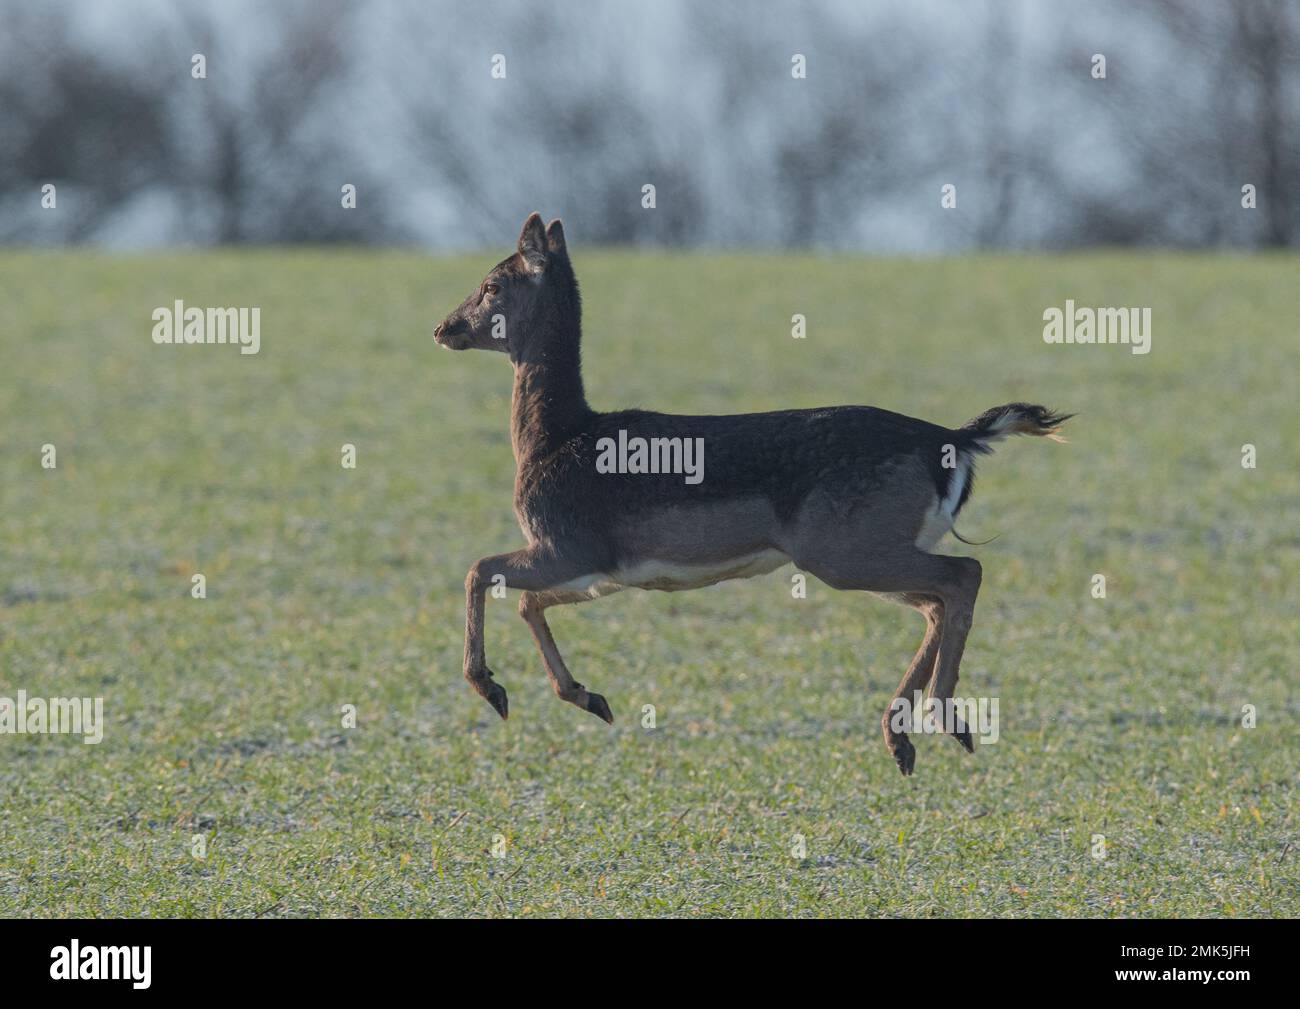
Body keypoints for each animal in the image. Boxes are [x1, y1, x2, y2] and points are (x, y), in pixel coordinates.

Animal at [431, 213, 1071, 774]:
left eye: (492, 284)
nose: (443, 328)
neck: (554, 438)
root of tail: (953, 440)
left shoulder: (569, 543)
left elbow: (477, 570)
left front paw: (491, 688)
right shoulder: (601, 570)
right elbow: (526, 602)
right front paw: (590, 698)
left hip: (844, 547)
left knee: (964, 573)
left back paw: (945, 722)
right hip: (870, 545)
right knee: (938, 598)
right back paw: (904, 737)